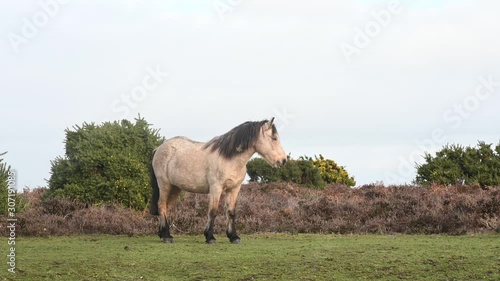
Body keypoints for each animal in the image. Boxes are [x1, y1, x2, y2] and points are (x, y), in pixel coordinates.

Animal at [149, 117, 286, 242]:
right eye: (274, 138)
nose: (283, 161)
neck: (230, 159)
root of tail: (158, 148)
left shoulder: (234, 189)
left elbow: (231, 212)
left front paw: (233, 237)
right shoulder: (216, 189)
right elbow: (213, 212)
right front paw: (210, 237)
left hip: (175, 188)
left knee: (167, 207)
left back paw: (164, 234)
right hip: (165, 185)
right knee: (161, 205)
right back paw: (166, 236)